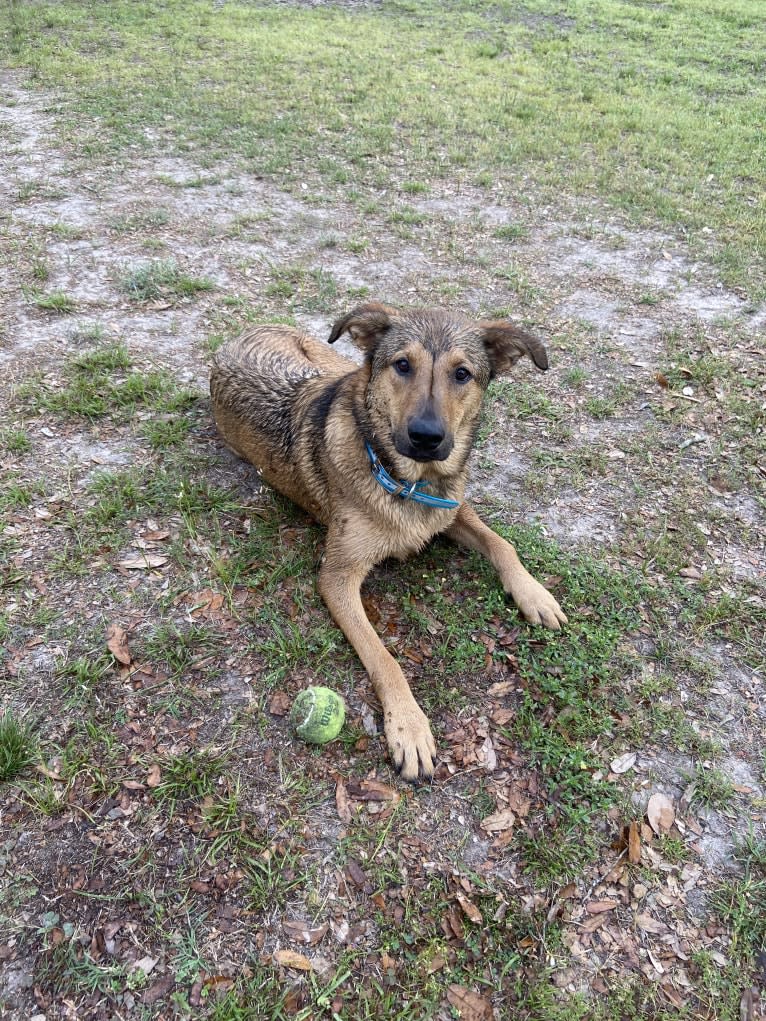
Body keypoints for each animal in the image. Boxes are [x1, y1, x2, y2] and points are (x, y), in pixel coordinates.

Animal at [211, 302, 571, 780]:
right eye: (402, 365)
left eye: (462, 374)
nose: (426, 437)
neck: (406, 479)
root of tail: (239, 335)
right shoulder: (337, 577)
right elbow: (385, 658)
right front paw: (409, 726)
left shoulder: (450, 508)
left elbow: (502, 544)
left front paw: (534, 594)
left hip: (330, 362)